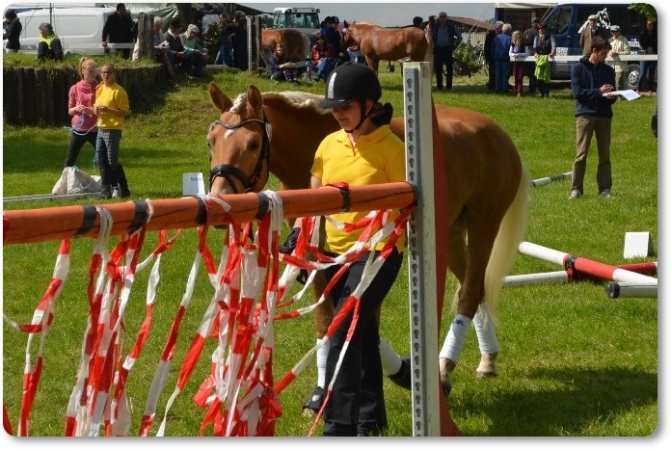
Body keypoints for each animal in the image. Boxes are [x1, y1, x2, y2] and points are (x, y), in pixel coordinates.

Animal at [207, 81, 532, 414]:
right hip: (452, 232)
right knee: (475, 286)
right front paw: (321, 393)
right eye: (211, 141)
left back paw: (443, 369)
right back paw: (487, 359)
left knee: (468, 293)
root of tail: (494, 130)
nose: (221, 200)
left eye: (253, 144)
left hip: (483, 226)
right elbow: (326, 323)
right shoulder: (315, 259)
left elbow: (359, 326)